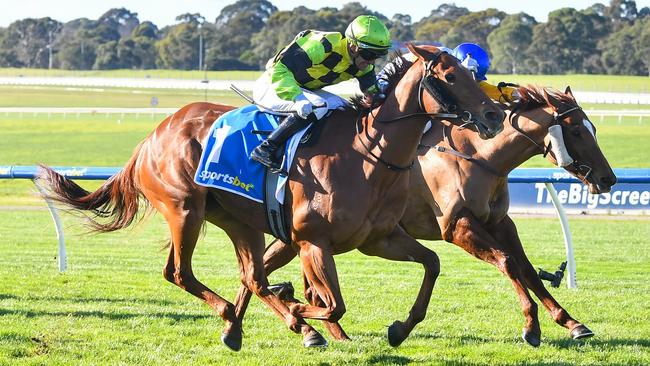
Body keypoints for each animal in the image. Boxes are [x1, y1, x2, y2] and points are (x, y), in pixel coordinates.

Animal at [35, 44, 504, 350]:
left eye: (471, 75)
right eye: (449, 77)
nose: (494, 114)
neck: (369, 154)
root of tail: (154, 133)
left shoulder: (378, 239)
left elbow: (432, 263)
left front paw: (399, 328)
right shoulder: (314, 241)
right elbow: (332, 304)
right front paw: (302, 313)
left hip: (238, 221)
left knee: (251, 277)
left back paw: (249, 324)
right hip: (185, 210)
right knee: (181, 273)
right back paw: (253, 318)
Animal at [232, 84, 612, 348]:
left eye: (593, 128)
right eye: (577, 131)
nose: (608, 178)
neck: (479, 156)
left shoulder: (499, 222)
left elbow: (528, 269)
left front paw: (572, 322)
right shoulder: (457, 226)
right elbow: (507, 263)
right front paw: (531, 327)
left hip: (297, 238)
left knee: (260, 272)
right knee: (259, 273)